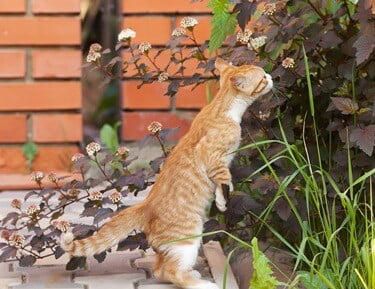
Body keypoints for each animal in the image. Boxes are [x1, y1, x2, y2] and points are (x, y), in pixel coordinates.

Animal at [61, 58, 274, 288]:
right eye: (262, 78)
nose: (271, 76)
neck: (225, 109)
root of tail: (145, 205)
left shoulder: (218, 165)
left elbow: (219, 185)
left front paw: (221, 202)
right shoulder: (213, 158)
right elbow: (225, 178)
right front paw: (226, 194)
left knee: (160, 269)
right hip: (188, 237)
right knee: (170, 272)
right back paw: (201, 283)